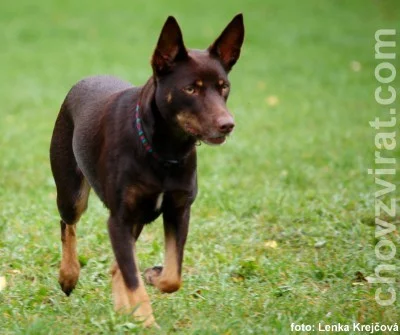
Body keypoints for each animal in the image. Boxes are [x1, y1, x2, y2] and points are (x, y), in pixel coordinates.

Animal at [50, 14, 244, 326]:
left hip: (137, 218)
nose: (227, 124)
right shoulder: (118, 220)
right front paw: (147, 320)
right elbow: (133, 279)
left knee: (117, 266)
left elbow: (171, 276)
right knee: (67, 224)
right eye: (190, 89)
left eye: (223, 86)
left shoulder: (178, 210)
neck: (164, 152)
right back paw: (68, 275)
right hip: (72, 193)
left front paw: (153, 280)